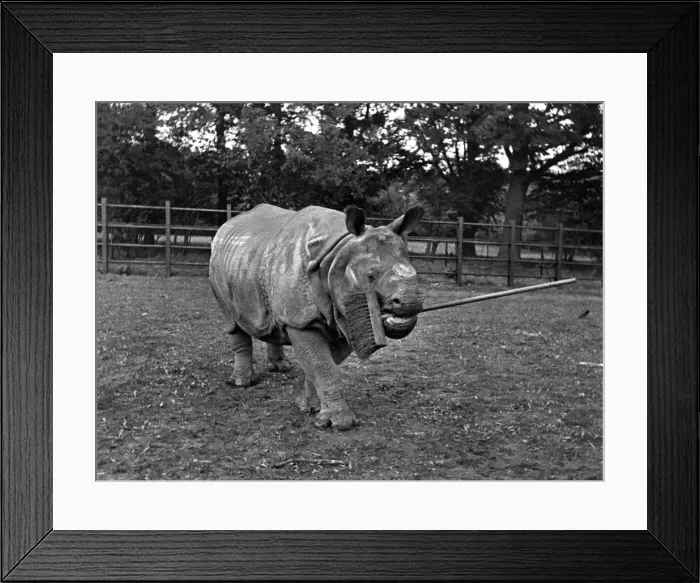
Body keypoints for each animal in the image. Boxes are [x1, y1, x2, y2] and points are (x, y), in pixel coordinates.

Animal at [209, 203, 425, 430]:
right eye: (370, 276)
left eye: (415, 272)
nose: (411, 302)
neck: (337, 255)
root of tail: (227, 225)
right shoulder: (302, 322)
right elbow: (322, 366)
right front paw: (341, 423)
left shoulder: (344, 318)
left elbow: (320, 365)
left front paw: (308, 407)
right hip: (217, 266)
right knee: (232, 322)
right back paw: (242, 383)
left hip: (253, 258)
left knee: (273, 317)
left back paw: (280, 368)